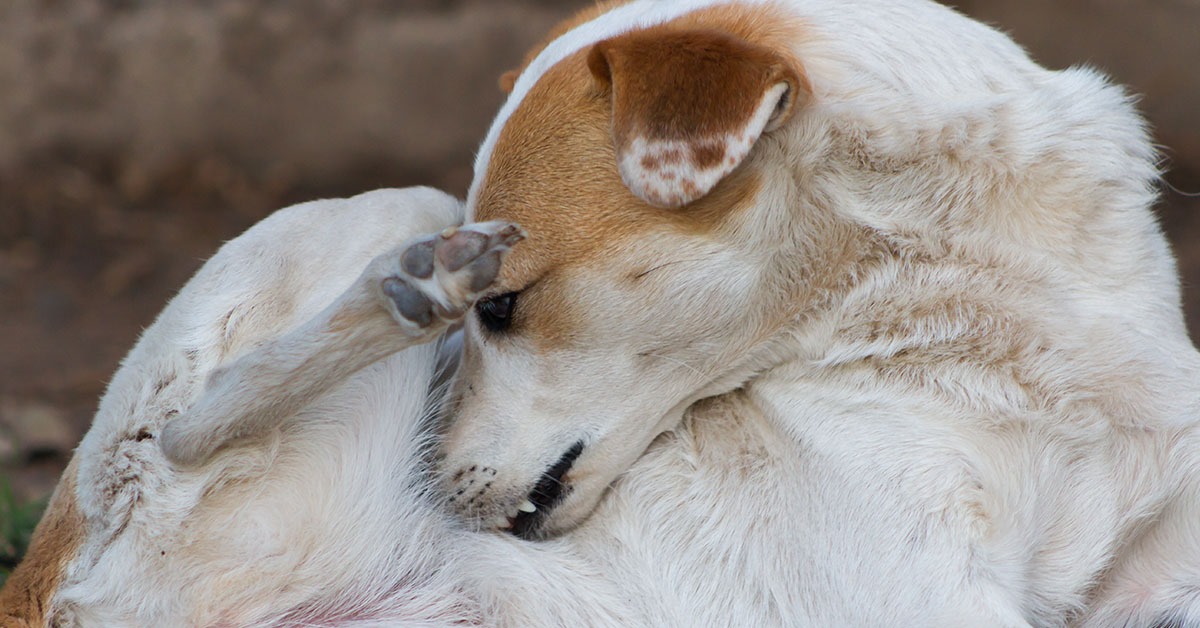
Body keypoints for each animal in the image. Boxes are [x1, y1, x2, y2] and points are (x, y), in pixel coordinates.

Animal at [2, 0, 1200, 624]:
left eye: (509, 313)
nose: (435, 476)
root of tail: (30, 580)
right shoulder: (915, 595)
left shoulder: (1158, 567)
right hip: (387, 206)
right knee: (182, 426)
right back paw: (411, 286)